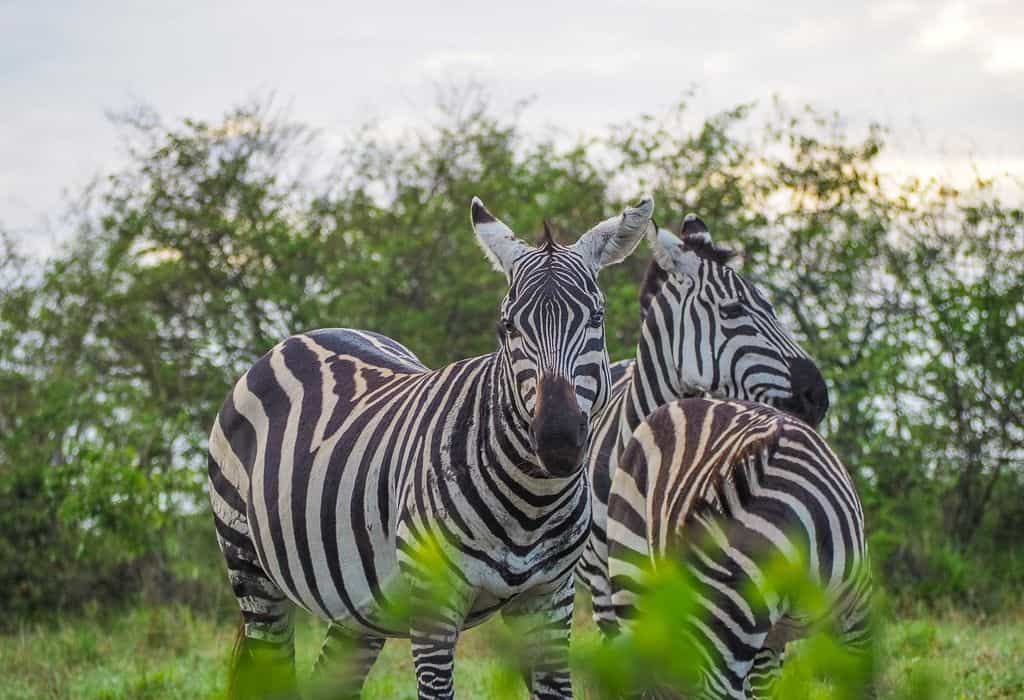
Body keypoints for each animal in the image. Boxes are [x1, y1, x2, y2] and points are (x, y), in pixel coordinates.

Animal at [208, 195, 655, 700]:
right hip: (250, 568)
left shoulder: (550, 600)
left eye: (597, 318)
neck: (533, 503)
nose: (557, 439)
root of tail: (299, 338)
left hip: (359, 604)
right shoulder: (433, 606)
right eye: (506, 326)